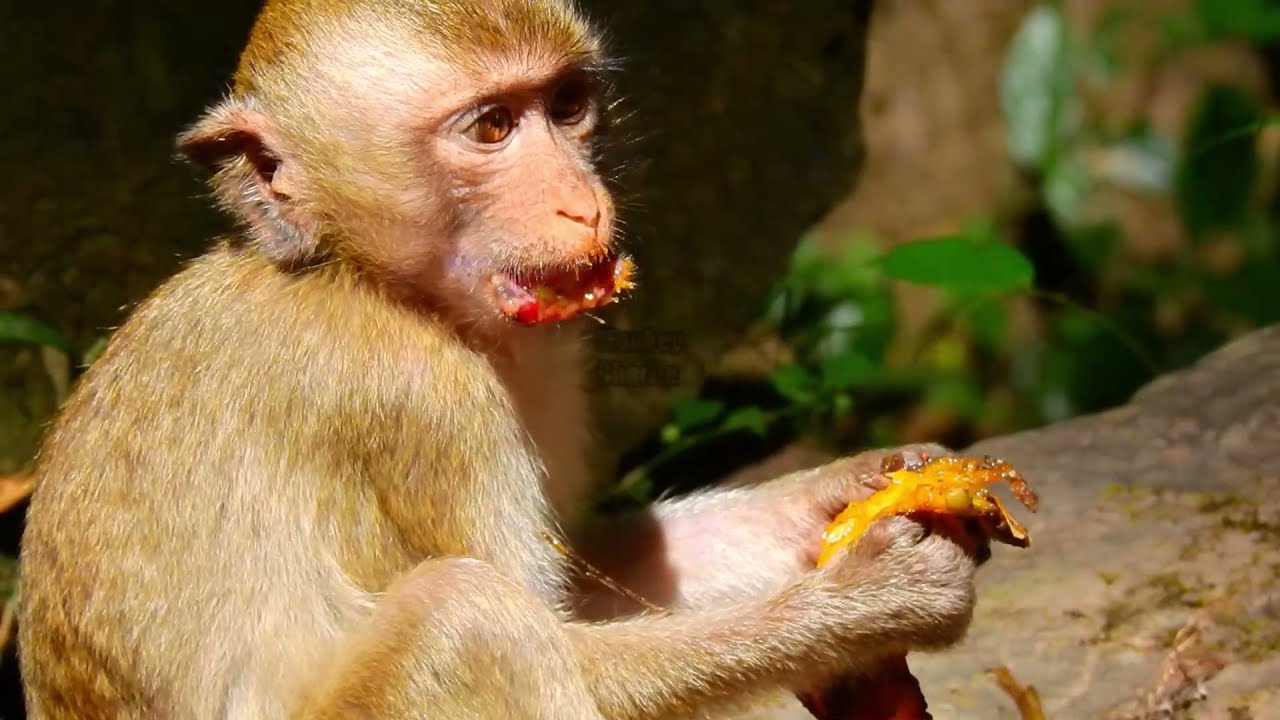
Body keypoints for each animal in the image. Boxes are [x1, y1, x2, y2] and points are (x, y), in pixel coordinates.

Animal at [16, 1, 985, 719]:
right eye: (490, 127)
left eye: (566, 105)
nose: (581, 204)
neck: (360, 277)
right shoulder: (420, 396)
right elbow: (561, 644)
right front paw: (869, 603)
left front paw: (856, 484)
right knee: (466, 619)